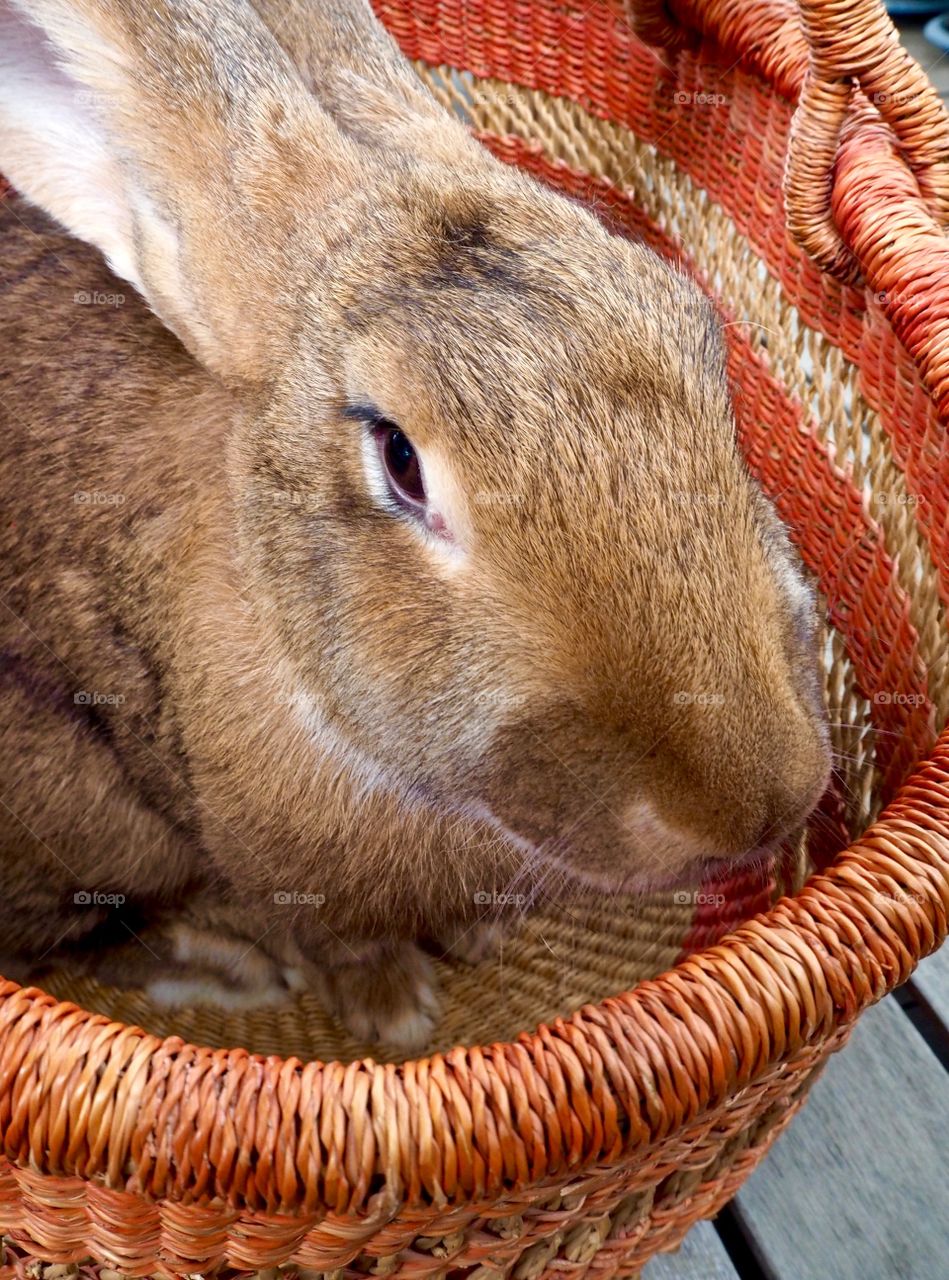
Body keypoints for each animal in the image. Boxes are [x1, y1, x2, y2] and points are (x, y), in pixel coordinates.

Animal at [0, 0, 829, 1044]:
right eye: (399, 459)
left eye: (700, 336)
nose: (754, 810)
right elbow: (336, 940)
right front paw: (392, 1012)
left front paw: (475, 942)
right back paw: (226, 970)